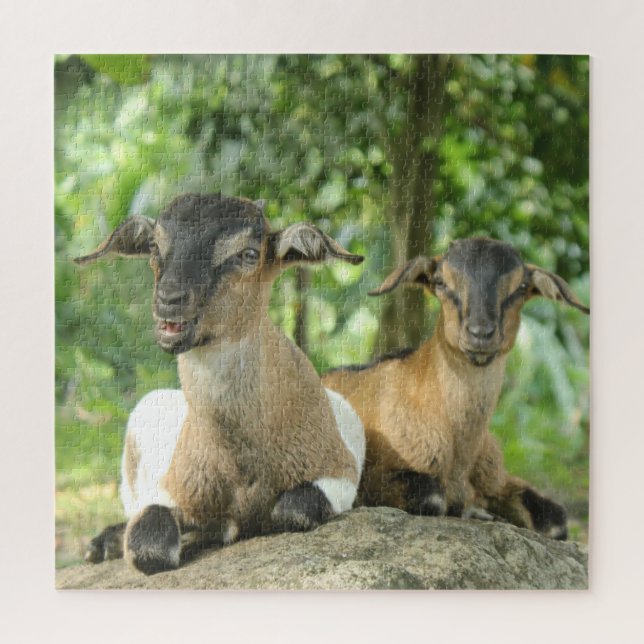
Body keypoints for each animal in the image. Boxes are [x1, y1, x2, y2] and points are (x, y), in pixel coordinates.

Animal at [74, 194, 366, 574]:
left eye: (249, 254)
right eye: (154, 245)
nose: (170, 299)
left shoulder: (338, 472)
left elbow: (293, 511)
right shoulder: (172, 487)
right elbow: (149, 545)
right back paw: (102, 544)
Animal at [323, 237, 589, 540]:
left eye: (521, 287)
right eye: (440, 282)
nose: (480, 333)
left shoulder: (496, 479)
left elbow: (556, 519)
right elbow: (432, 498)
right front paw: (476, 511)